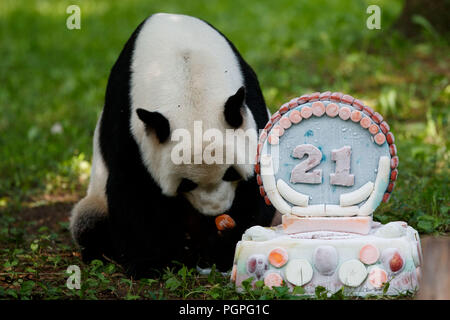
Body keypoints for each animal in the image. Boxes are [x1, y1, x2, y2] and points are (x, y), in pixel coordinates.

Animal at [70, 13, 274, 278]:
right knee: (89, 224)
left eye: (231, 173)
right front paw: (152, 263)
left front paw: (226, 245)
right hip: (95, 200)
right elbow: (133, 188)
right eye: (186, 183)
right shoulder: (127, 122)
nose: (215, 210)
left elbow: (259, 182)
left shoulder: (251, 105)